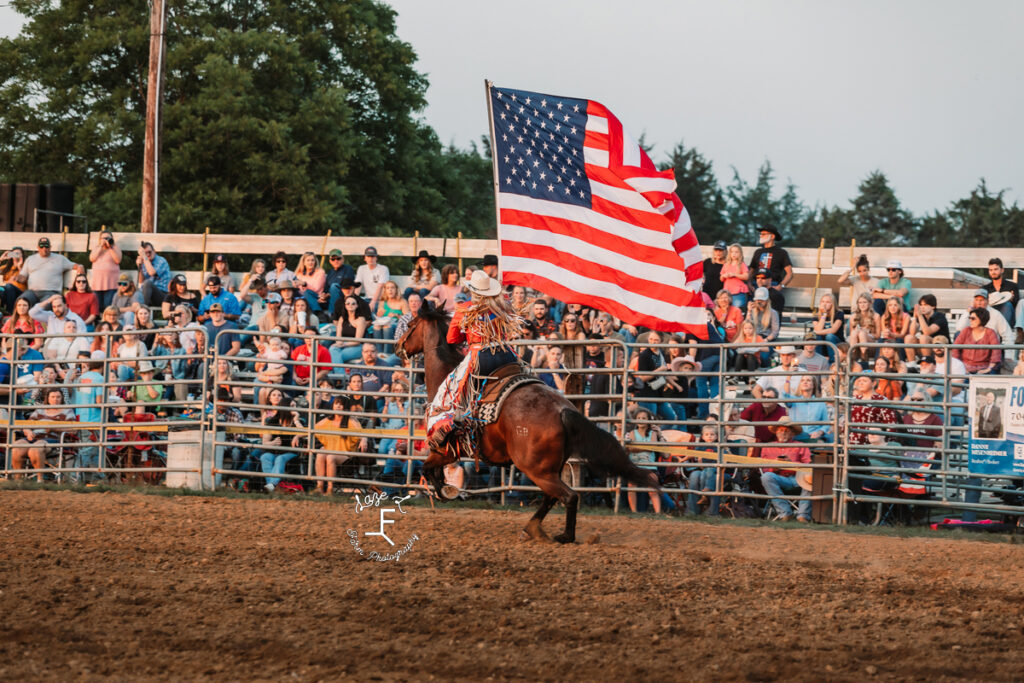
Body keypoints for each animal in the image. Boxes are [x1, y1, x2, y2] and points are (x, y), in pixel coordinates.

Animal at [393, 307, 655, 540]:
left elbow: (427, 469)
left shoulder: (444, 449)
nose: (398, 346)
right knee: (552, 497)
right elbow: (431, 470)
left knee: (568, 496)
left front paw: (446, 491)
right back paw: (532, 529)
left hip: (535, 469)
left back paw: (564, 536)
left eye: (410, 324)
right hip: (549, 468)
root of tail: (563, 410)